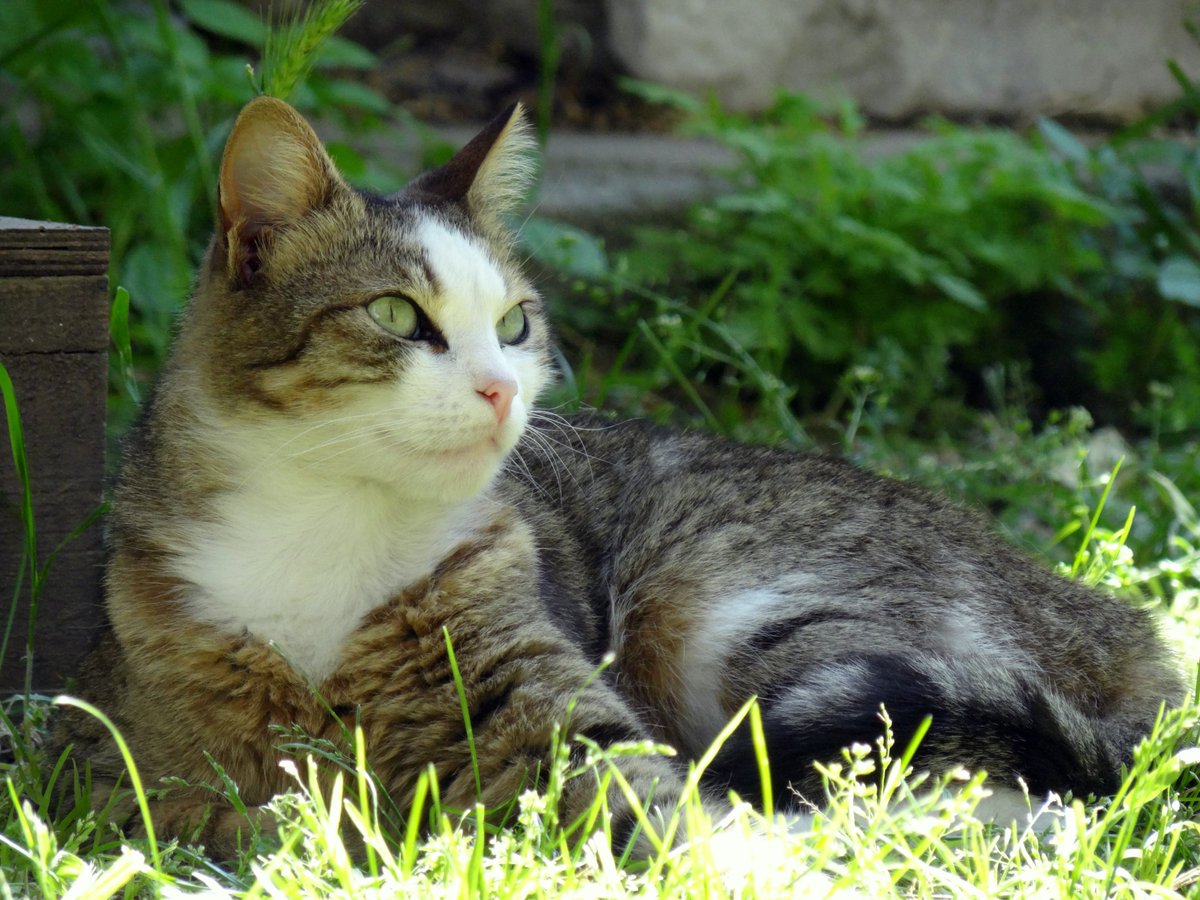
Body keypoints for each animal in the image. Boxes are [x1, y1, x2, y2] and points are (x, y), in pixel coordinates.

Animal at [56, 95, 1180, 854]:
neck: (334, 523)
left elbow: (651, 803)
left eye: (514, 324)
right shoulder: (129, 760)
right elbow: (206, 811)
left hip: (736, 606)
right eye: (395, 314)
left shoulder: (540, 695)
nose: (499, 390)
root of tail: (1124, 624)